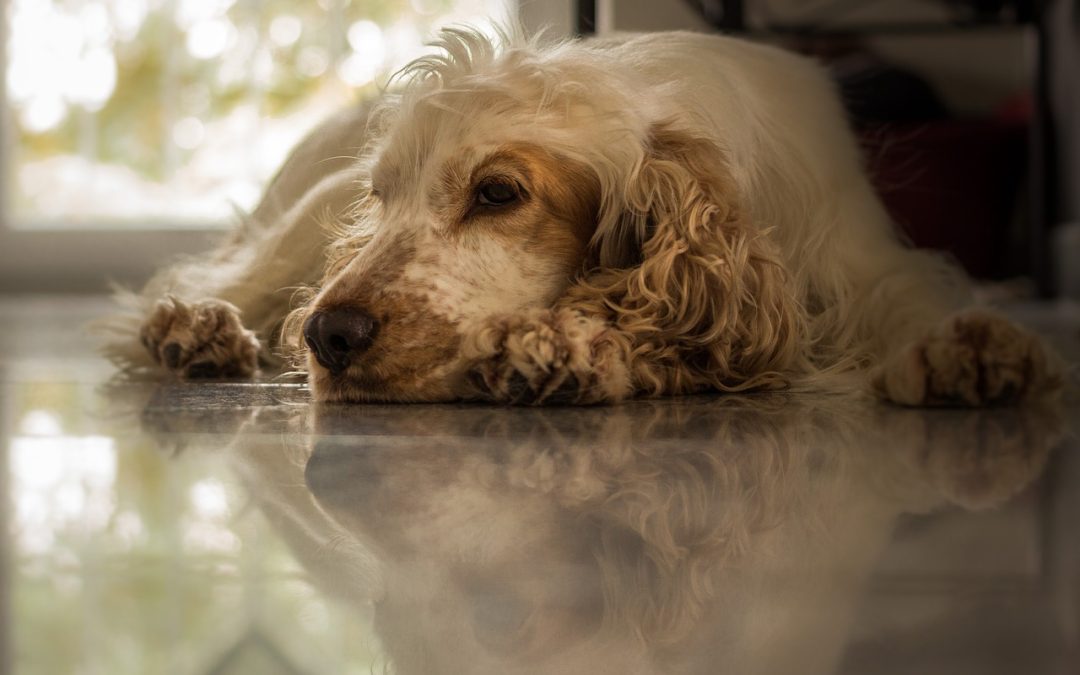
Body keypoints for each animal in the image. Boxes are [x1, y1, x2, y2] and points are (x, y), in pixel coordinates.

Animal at [103, 26, 1062, 401]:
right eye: (385, 198)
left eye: (498, 193)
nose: (330, 338)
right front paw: (562, 344)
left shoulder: (857, 254)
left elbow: (915, 300)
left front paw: (970, 347)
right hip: (302, 211)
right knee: (225, 275)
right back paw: (195, 330)